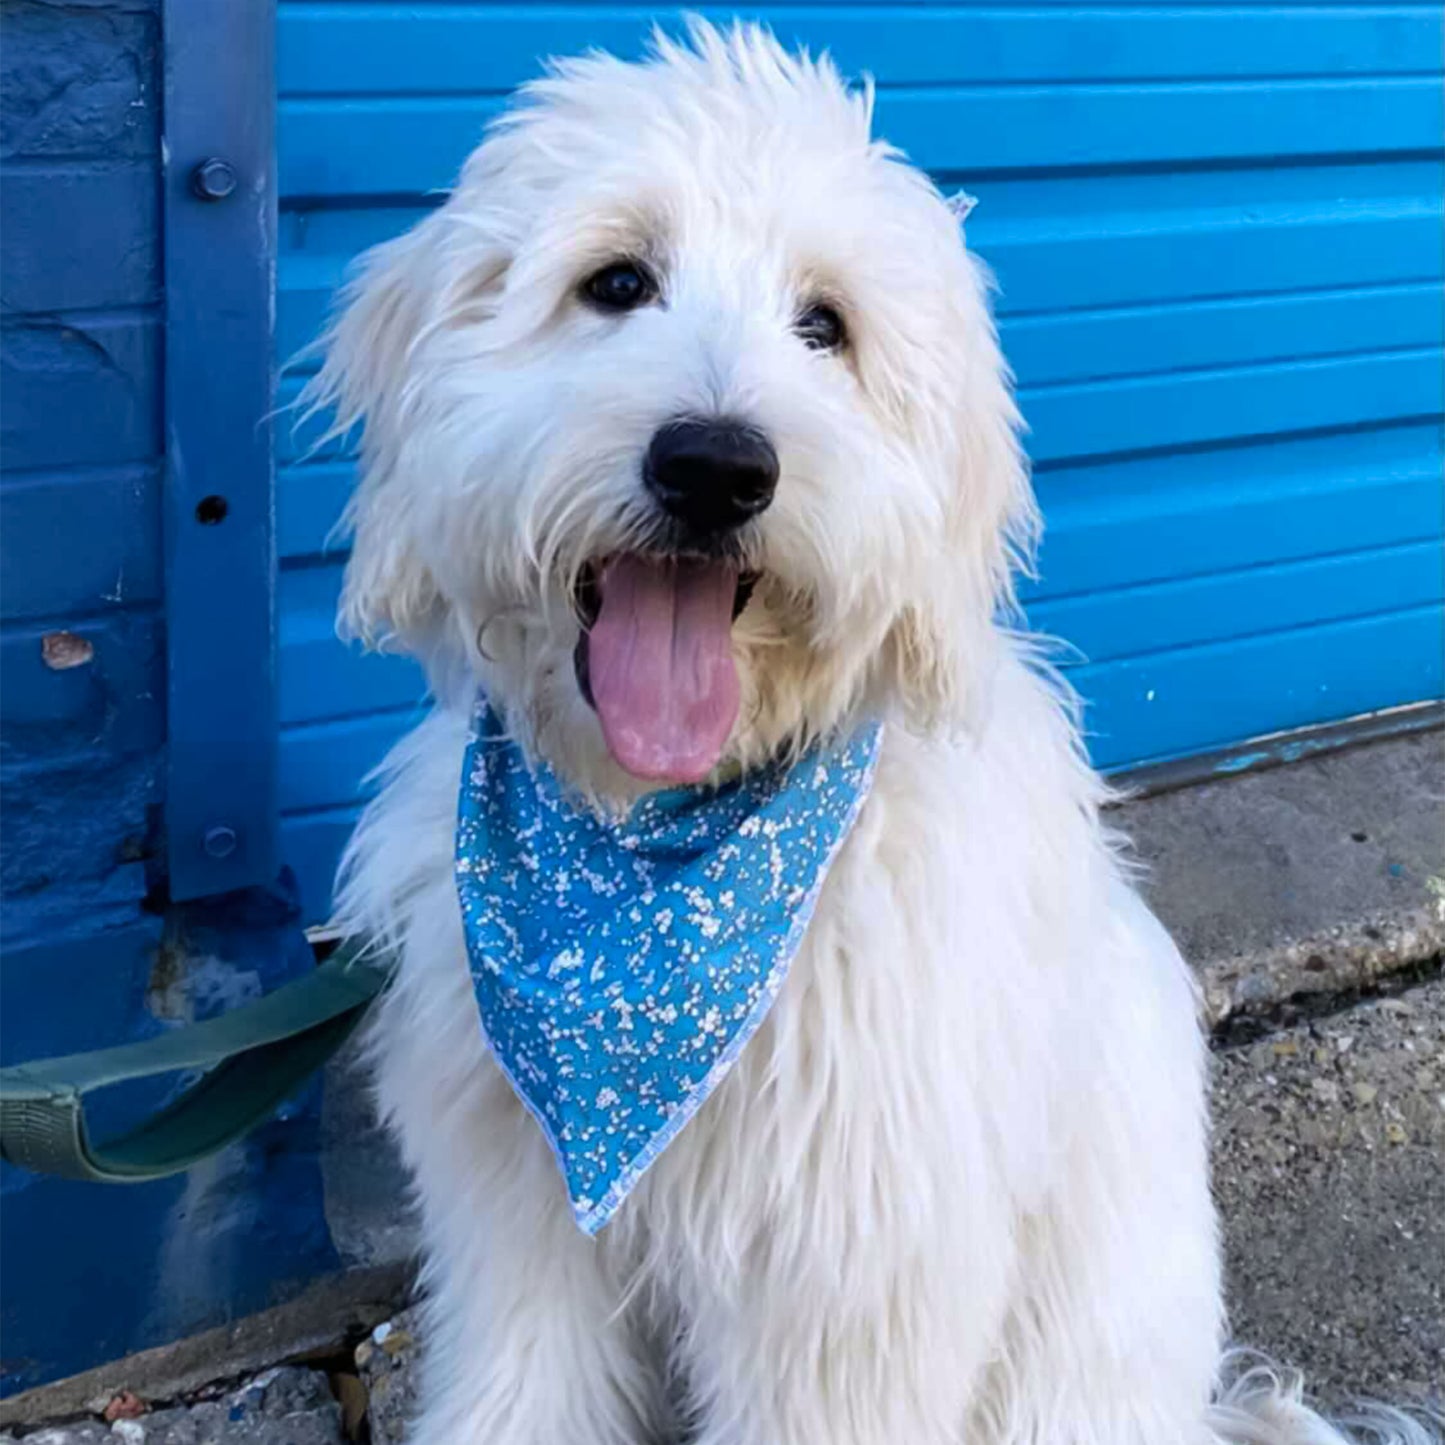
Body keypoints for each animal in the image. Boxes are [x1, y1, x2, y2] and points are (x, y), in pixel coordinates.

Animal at [313, 22, 1433, 1445]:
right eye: (614, 282)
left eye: (824, 326)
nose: (716, 465)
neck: (658, 847)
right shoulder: (518, 1208)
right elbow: (525, 1378)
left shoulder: (851, 1266)